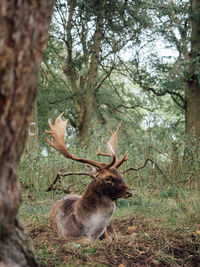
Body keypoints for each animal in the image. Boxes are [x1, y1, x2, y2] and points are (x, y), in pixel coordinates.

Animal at [46, 113, 132, 243]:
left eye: (121, 175)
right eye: (108, 178)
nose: (129, 192)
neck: (92, 231)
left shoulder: (104, 232)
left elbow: (109, 239)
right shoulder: (65, 235)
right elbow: (86, 241)